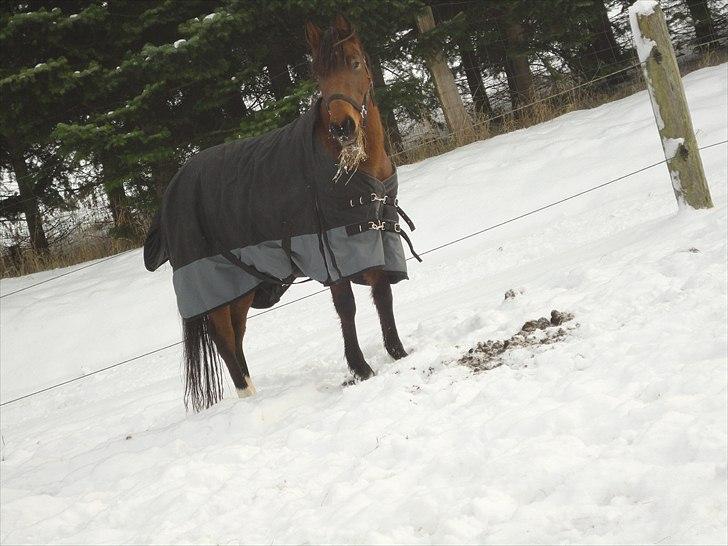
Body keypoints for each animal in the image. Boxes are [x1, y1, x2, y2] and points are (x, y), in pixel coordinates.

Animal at [182, 15, 410, 408]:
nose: (342, 127)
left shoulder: (377, 234)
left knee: (236, 333)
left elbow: (383, 295)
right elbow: (346, 306)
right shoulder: (332, 250)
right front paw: (361, 368)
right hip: (217, 282)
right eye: (318, 75)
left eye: (354, 63)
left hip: (243, 285)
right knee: (223, 337)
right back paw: (247, 397)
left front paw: (398, 352)